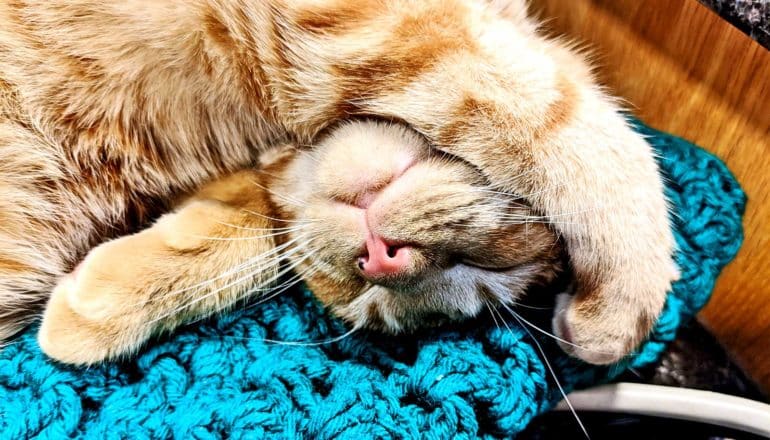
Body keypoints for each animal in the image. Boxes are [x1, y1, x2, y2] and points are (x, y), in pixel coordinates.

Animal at [0, 0, 672, 364]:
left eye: (367, 302)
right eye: (492, 270)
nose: (382, 261)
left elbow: (263, 236)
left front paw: (98, 311)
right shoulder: (370, 20)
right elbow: (549, 109)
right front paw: (625, 301)